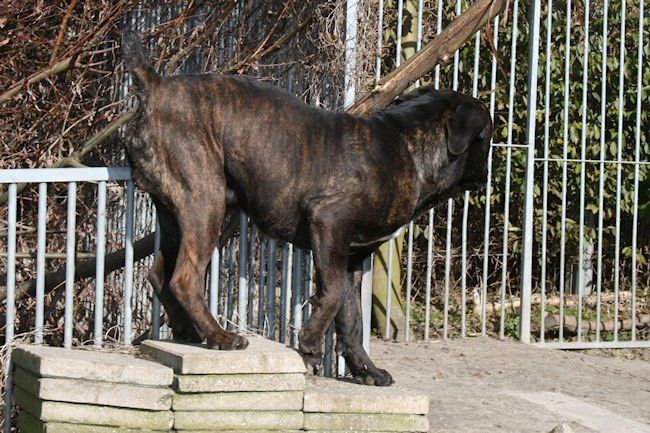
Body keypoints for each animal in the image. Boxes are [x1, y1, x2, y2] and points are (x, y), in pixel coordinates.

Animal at [122, 31, 492, 386]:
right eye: (488, 135)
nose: (489, 172)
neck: (408, 146)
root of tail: (155, 85)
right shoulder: (329, 225)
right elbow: (332, 295)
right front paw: (311, 344)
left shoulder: (352, 256)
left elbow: (351, 320)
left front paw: (366, 370)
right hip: (205, 201)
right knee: (185, 278)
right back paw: (220, 336)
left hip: (175, 214)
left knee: (160, 274)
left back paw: (190, 332)